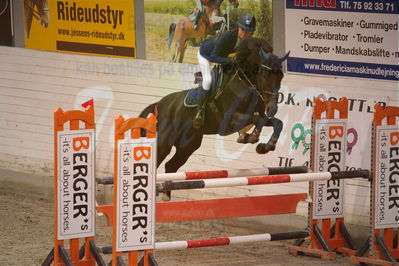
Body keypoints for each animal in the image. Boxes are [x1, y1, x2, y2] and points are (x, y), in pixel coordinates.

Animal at [141, 37, 290, 179]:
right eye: (265, 75)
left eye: (281, 75)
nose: (272, 108)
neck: (245, 82)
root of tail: (159, 104)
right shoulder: (232, 119)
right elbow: (258, 120)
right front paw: (252, 137)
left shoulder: (258, 115)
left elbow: (277, 123)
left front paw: (265, 146)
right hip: (164, 142)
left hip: (188, 144)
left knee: (171, 165)